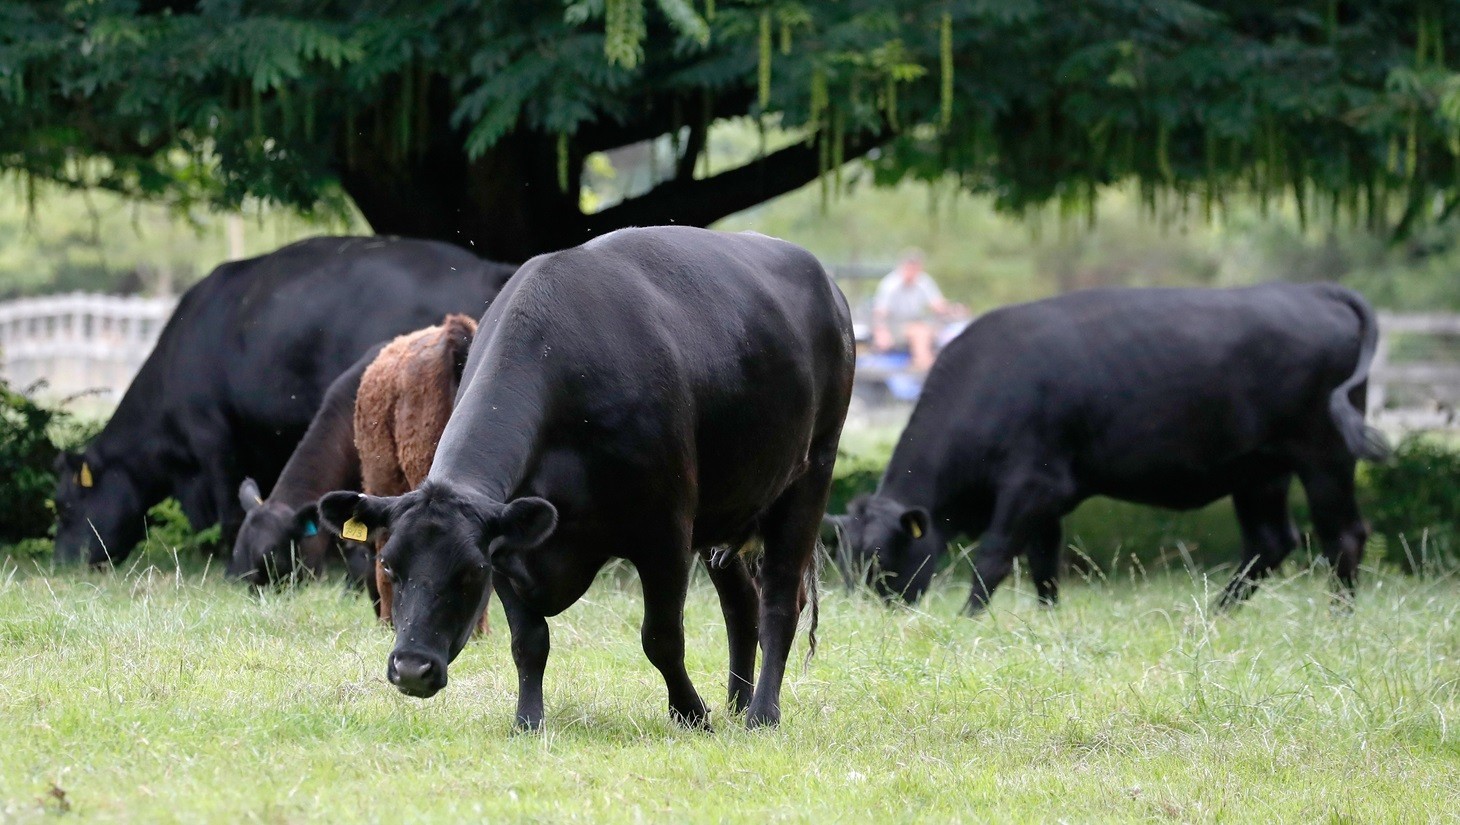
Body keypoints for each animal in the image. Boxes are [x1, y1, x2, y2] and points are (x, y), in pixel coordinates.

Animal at [313, 224, 852, 727]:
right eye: (388, 566)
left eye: (470, 571)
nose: (411, 669)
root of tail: (824, 279)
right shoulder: (510, 542)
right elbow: (529, 641)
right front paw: (528, 721)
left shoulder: (664, 532)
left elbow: (661, 637)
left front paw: (691, 713)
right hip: (726, 509)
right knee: (742, 604)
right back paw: (738, 704)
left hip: (811, 474)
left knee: (779, 601)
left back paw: (762, 714)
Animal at [835, 283, 1389, 610]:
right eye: (846, 562)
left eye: (882, 560)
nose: (868, 612)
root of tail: (1312, 289)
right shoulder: (1048, 496)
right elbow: (1044, 563)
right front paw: (1045, 620)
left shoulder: (1030, 483)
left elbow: (994, 557)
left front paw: (968, 619)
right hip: (1259, 471)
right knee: (1270, 543)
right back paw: (1216, 614)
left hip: (1324, 456)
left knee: (1343, 536)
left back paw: (1339, 615)